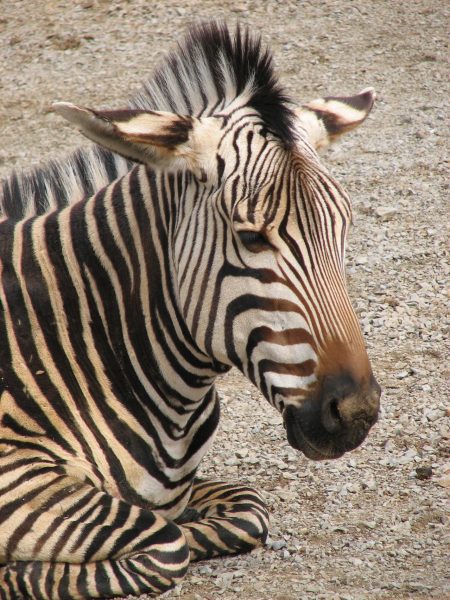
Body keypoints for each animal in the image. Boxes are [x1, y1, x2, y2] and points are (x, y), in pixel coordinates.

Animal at [0, 22, 380, 600]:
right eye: (251, 237)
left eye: (344, 229)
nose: (356, 412)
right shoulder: (15, 476)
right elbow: (166, 544)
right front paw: (16, 571)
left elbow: (246, 510)